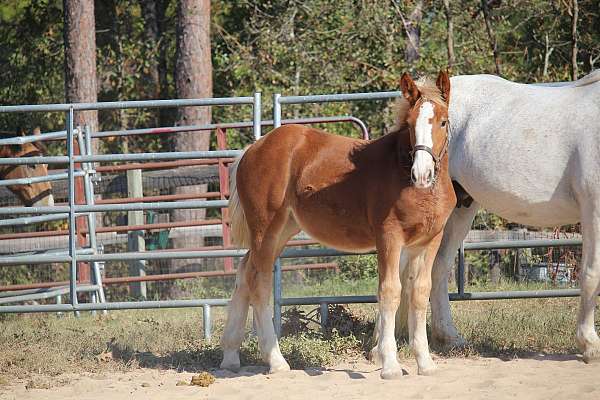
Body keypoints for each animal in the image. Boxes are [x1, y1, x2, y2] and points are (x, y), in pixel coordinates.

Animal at [223, 70, 458, 380]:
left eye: (443, 121)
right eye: (409, 124)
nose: (422, 173)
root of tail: (253, 148)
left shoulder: (429, 240)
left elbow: (420, 292)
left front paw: (425, 363)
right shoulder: (389, 237)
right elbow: (390, 292)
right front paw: (390, 365)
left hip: (282, 230)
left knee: (244, 273)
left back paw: (230, 356)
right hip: (265, 229)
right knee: (258, 283)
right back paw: (276, 361)